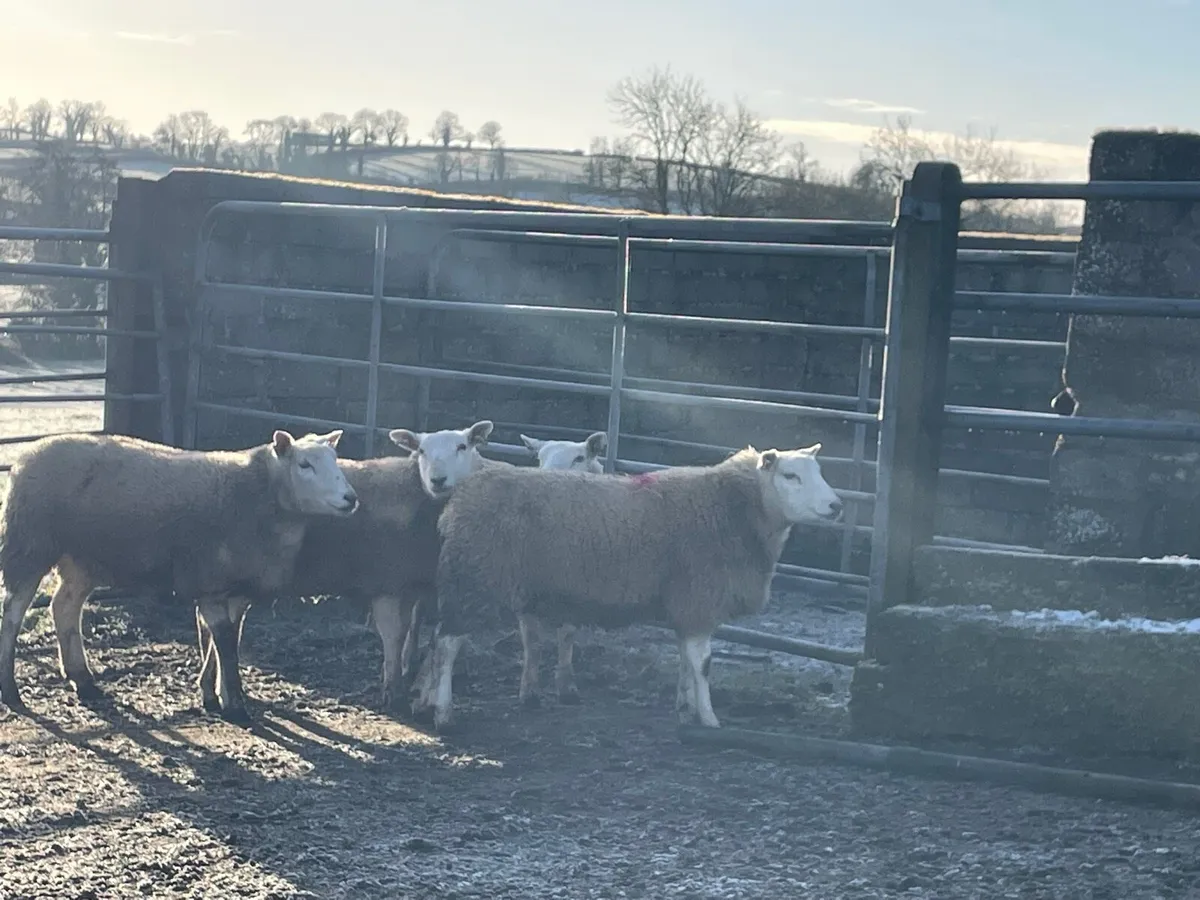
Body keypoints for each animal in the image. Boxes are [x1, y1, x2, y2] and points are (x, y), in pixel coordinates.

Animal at [0, 429, 358, 722]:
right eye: (304, 465)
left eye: (335, 461)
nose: (351, 499)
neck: (258, 495)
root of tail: (27, 455)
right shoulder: (210, 582)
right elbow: (225, 644)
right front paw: (235, 706)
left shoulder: (236, 589)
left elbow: (224, 640)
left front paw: (213, 693)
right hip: (29, 545)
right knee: (13, 615)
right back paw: (11, 690)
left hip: (81, 557)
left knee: (65, 606)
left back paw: (83, 679)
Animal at [225, 420, 495, 713]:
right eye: (421, 451)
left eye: (462, 446)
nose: (437, 480)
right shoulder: (387, 583)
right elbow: (394, 635)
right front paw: (392, 690)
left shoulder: (410, 582)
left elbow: (411, 628)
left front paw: (404, 672)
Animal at [418, 443, 842, 732]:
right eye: (791, 476)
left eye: (819, 472)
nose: (837, 506)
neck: (735, 508)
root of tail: (460, 498)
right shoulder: (699, 598)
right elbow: (703, 664)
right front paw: (709, 718)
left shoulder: (686, 605)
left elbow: (686, 662)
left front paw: (686, 707)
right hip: (476, 579)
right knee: (448, 644)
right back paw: (444, 712)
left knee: (436, 640)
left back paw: (425, 702)